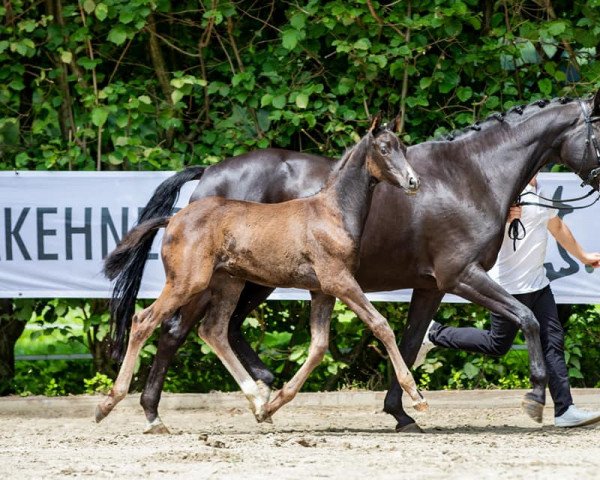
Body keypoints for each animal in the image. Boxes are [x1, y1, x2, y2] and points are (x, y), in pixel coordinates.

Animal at [97, 116, 426, 424]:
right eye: (383, 149)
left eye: (402, 147)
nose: (413, 182)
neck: (332, 213)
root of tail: (174, 218)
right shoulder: (340, 281)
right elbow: (381, 325)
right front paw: (416, 395)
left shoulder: (322, 291)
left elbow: (318, 347)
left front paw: (275, 402)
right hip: (188, 283)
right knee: (145, 321)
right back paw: (112, 404)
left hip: (228, 284)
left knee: (213, 330)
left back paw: (257, 400)